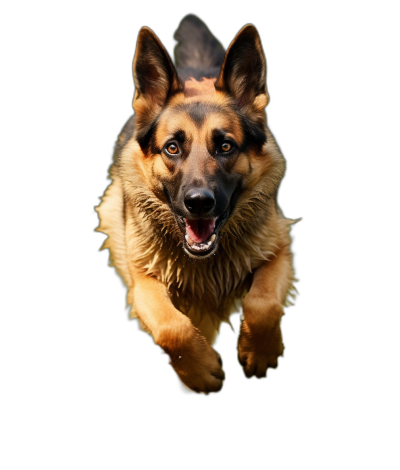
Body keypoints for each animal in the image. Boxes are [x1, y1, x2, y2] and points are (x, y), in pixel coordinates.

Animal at [96, 15, 296, 392]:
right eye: (172, 148)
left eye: (226, 146)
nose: (199, 203)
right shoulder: (142, 280)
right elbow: (171, 327)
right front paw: (201, 372)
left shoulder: (279, 251)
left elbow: (263, 303)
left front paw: (259, 354)